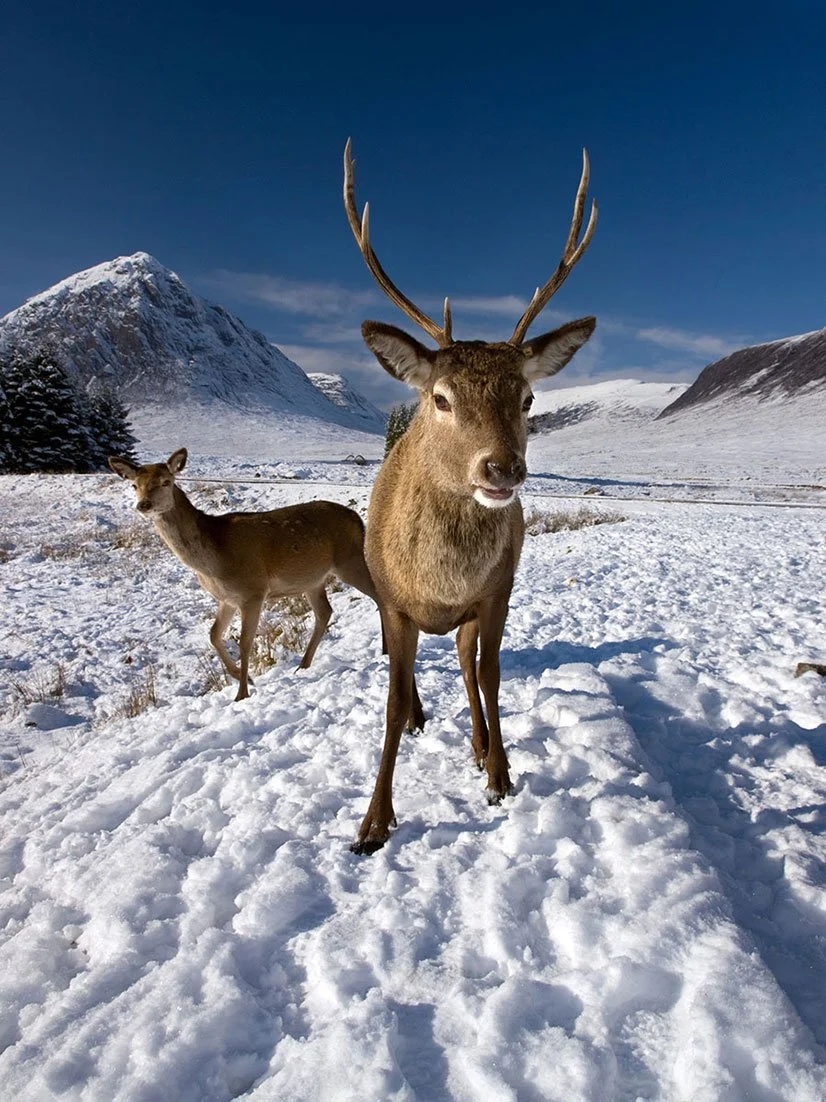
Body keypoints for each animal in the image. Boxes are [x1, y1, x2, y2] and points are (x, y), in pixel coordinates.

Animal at [108, 448, 381, 701]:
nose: (143, 505)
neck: (213, 560)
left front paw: (241, 694)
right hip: (313, 580)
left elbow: (245, 642)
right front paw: (244, 677)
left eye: (166, 481)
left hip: (349, 560)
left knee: (378, 594)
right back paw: (303, 666)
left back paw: (385, 650)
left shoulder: (253, 591)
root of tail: (358, 519)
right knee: (324, 612)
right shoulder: (227, 598)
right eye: (134, 485)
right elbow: (214, 635)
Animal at [343, 139, 597, 853]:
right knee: (408, 672)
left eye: (529, 397)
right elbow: (392, 697)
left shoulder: (497, 589)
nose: (502, 469)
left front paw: (500, 772)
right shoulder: (393, 600)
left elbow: (489, 673)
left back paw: (481, 747)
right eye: (440, 397)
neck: (438, 581)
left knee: (463, 663)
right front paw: (373, 822)